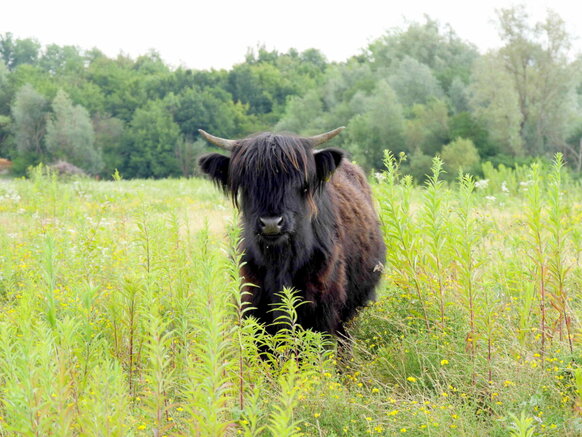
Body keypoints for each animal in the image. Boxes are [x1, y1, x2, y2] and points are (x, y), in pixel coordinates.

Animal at [198, 128, 386, 338]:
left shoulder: (324, 310)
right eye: (246, 183)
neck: (280, 261)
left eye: (300, 181)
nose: (271, 223)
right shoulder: (251, 303)